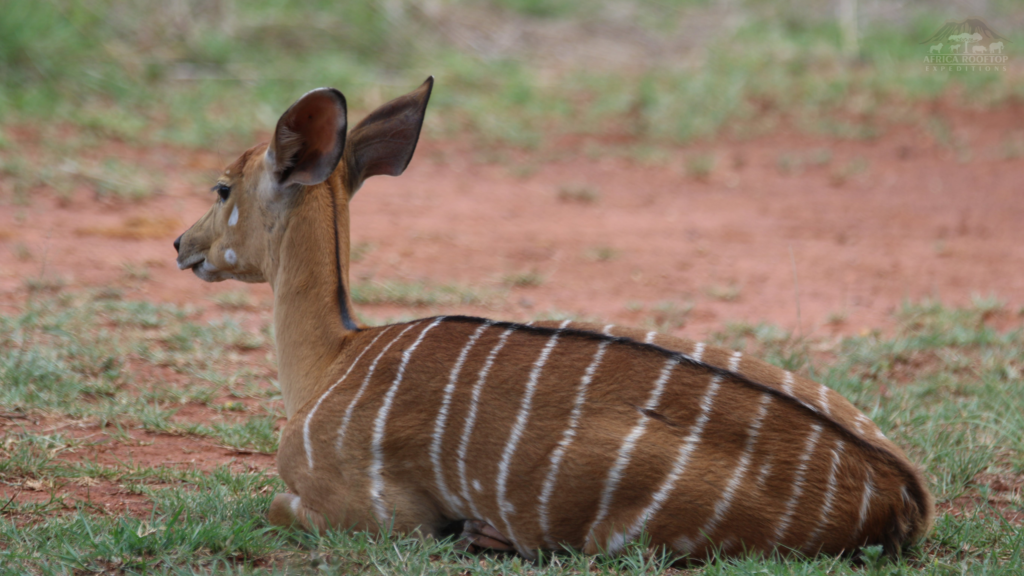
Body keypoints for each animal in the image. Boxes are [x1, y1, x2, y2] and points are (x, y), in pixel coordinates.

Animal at [172, 78, 933, 557]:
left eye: (222, 187)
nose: (182, 245)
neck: (333, 355)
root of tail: (903, 494)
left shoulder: (373, 514)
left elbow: (273, 505)